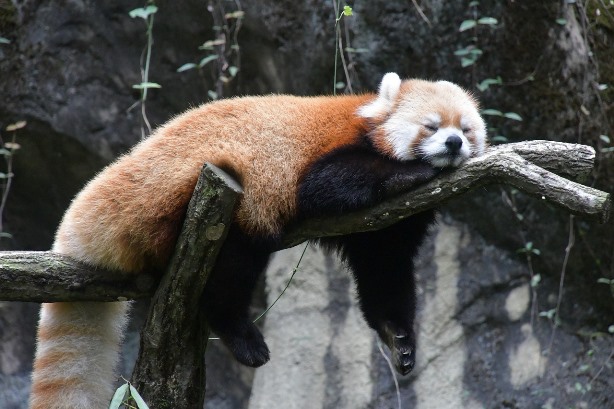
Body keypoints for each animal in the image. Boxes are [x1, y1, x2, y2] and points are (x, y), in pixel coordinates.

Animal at [31, 74, 488, 408]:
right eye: (431, 126)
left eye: (466, 129)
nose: (453, 143)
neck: (368, 123)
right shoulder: (327, 156)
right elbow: (329, 184)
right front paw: (413, 172)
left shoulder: (386, 230)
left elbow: (385, 270)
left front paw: (399, 339)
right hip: (187, 200)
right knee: (232, 267)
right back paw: (242, 336)